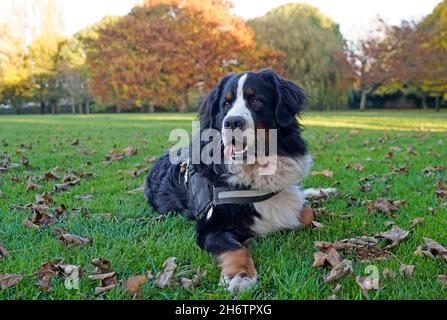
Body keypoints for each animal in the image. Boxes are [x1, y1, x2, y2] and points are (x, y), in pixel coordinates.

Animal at [145, 69, 334, 292]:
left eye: (256, 100)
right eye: (226, 104)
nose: (232, 122)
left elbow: (305, 213)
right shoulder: (210, 226)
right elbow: (236, 248)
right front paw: (240, 275)